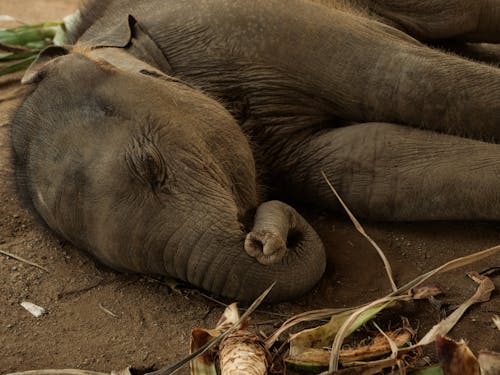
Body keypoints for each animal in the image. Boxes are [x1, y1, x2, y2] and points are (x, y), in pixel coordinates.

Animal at [9, 0, 500, 302]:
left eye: (151, 167)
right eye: (122, 267)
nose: (263, 241)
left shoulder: (255, 24)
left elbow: (403, 79)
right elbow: (378, 171)